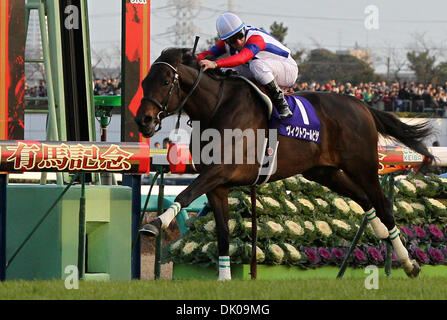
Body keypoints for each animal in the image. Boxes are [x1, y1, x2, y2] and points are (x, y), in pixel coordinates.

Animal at [135, 47, 436, 280]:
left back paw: (410, 264)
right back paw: (384, 236)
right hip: (324, 172)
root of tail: (362, 106)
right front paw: (224, 279)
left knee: (383, 205)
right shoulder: (217, 185)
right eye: (144, 81)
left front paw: (153, 225)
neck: (217, 108)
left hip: (363, 166)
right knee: (364, 200)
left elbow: (184, 195)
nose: (143, 121)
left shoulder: (220, 171)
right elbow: (222, 235)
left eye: (165, 82)